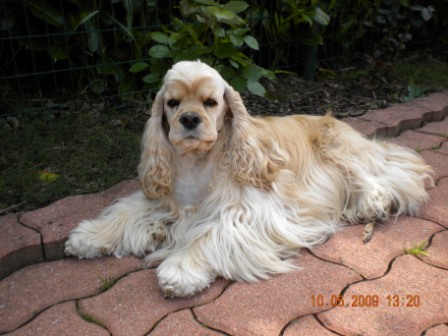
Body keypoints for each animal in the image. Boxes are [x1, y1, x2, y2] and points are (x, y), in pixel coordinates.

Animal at [65, 60, 432, 296]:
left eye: (211, 102)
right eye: (172, 102)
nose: (189, 119)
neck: (198, 163)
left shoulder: (249, 213)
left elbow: (209, 236)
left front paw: (180, 271)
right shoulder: (163, 198)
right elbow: (125, 213)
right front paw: (87, 238)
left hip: (338, 150)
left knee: (381, 176)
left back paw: (372, 204)